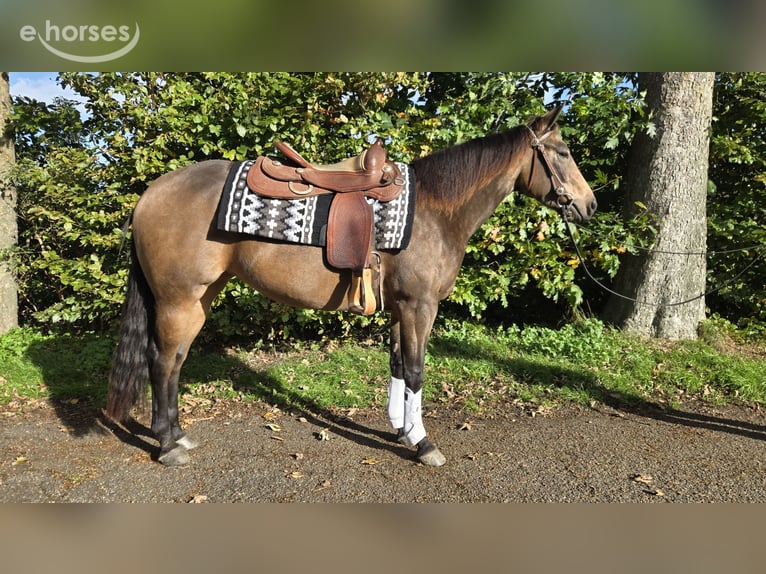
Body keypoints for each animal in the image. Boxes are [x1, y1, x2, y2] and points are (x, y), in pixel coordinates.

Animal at [105, 105, 597, 467]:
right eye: (563, 152)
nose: (590, 206)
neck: (436, 210)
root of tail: (149, 195)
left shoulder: (400, 307)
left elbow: (398, 364)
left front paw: (401, 429)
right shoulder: (419, 306)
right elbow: (416, 370)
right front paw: (424, 444)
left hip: (198, 299)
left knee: (174, 361)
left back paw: (178, 436)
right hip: (178, 300)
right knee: (162, 361)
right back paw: (168, 447)